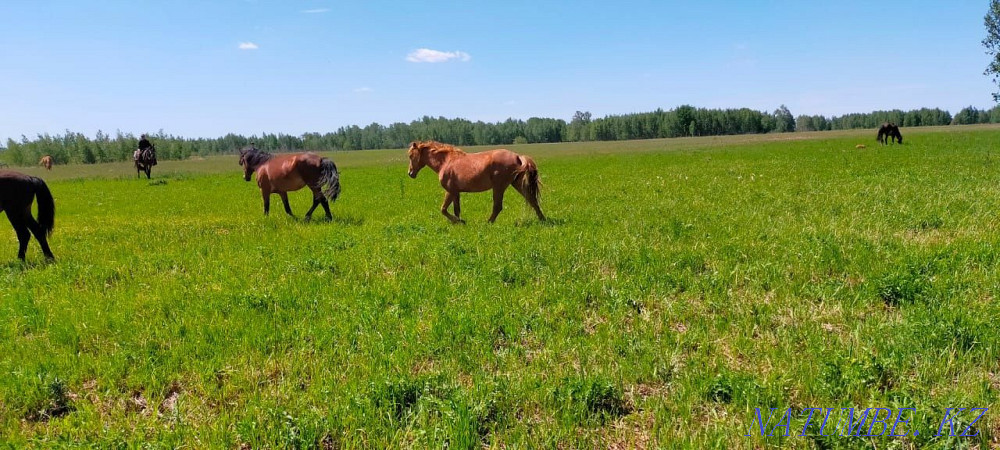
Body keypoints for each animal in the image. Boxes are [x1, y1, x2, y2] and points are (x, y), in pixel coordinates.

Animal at [407, 140, 545, 224]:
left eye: (410, 155)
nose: (410, 173)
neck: (446, 162)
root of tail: (518, 156)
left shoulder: (450, 190)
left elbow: (444, 209)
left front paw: (459, 222)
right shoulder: (456, 192)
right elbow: (455, 209)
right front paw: (459, 222)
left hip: (499, 187)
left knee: (497, 207)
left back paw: (488, 223)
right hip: (516, 184)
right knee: (532, 200)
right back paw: (543, 220)